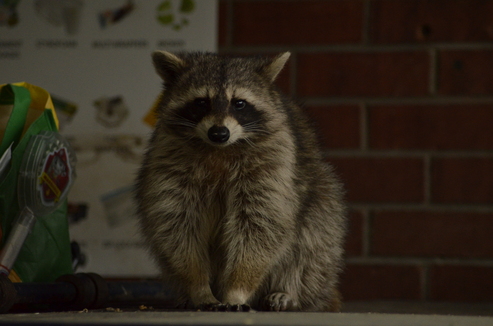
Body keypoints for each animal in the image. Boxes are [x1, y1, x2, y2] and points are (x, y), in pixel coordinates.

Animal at [135, 50, 346, 310]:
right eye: (201, 102)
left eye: (239, 103)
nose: (219, 133)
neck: (219, 148)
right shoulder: (169, 161)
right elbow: (178, 224)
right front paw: (198, 286)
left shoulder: (273, 165)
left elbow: (260, 225)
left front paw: (237, 288)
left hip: (323, 199)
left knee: (313, 242)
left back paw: (289, 291)